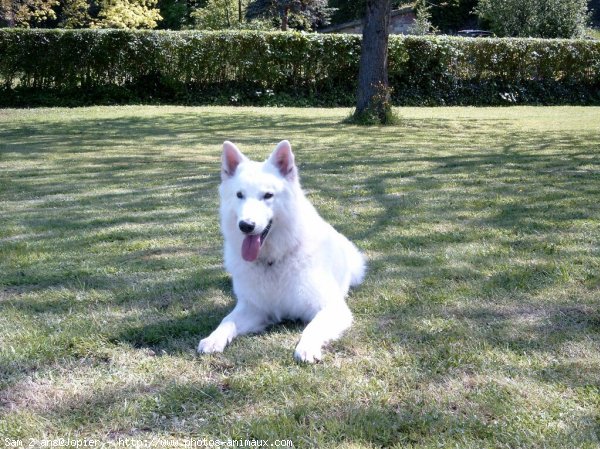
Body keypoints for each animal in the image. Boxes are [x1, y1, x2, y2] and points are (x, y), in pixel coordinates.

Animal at [197, 140, 366, 360]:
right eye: (239, 195)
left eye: (268, 195)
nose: (246, 225)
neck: (273, 260)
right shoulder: (254, 309)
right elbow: (227, 321)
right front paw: (213, 339)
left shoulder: (331, 308)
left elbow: (312, 327)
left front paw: (307, 347)